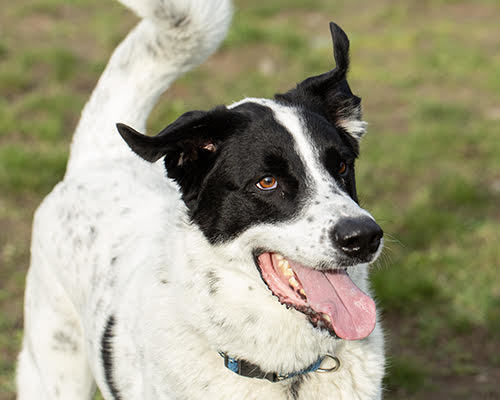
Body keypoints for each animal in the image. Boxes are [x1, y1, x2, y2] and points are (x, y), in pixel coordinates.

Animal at [15, 0, 384, 400]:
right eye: (266, 182)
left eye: (342, 166)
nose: (364, 237)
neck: (284, 376)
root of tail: (102, 157)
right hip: (52, 368)